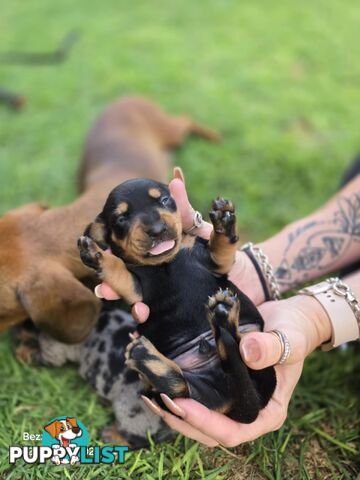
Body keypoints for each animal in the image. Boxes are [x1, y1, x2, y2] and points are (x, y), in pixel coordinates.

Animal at [78, 180, 276, 424]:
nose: (157, 230)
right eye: (121, 219)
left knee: (236, 350)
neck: (165, 262)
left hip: (253, 347)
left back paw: (223, 316)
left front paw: (224, 220)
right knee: (180, 387)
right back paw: (144, 354)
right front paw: (95, 254)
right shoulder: (136, 288)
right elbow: (117, 269)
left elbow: (221, 248)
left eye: (164, 200)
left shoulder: (214, 261)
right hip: (189, 396)